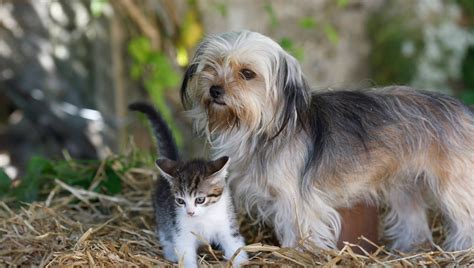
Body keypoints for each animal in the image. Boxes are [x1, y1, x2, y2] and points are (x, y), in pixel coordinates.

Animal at [130, 102, 248, 268]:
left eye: (200, 200)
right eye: (180, 201)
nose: (190, 212)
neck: (204, 217)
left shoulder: (227, 223)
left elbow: (234, 244)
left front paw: (240, 261)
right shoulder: (181, 231)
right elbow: (185, 251)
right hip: (162, 214)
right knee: (165, 233)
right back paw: (170, 252)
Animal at [179, 30, 474, 252]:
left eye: (247, 73)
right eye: (211, 66)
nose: (215, 90)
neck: (262, 127)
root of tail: (464, 110)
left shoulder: (297, 202)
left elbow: (297, 233)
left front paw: (296, 254)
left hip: (453, 187)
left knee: (465, 220)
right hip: (404, 185)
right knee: (413, 221)